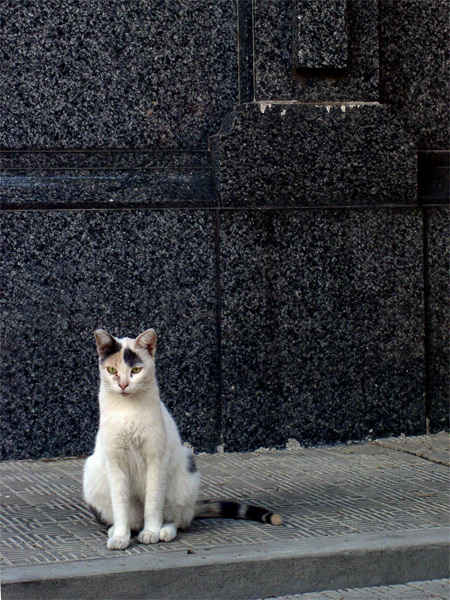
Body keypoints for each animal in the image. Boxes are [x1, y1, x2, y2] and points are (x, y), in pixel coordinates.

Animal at [81, 330, 282, 552]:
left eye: (136, 370)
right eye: (112, 370)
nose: (123, 384)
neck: (128, 410)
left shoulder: (156, 459)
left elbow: (153, 502)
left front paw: (151, 532)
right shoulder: (115, 462)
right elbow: (120, 504)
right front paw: (120, 536)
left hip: (185, 473)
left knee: (177, 519)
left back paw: (164, 531)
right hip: (92, 474)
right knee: (131, 519)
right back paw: (116, 529)